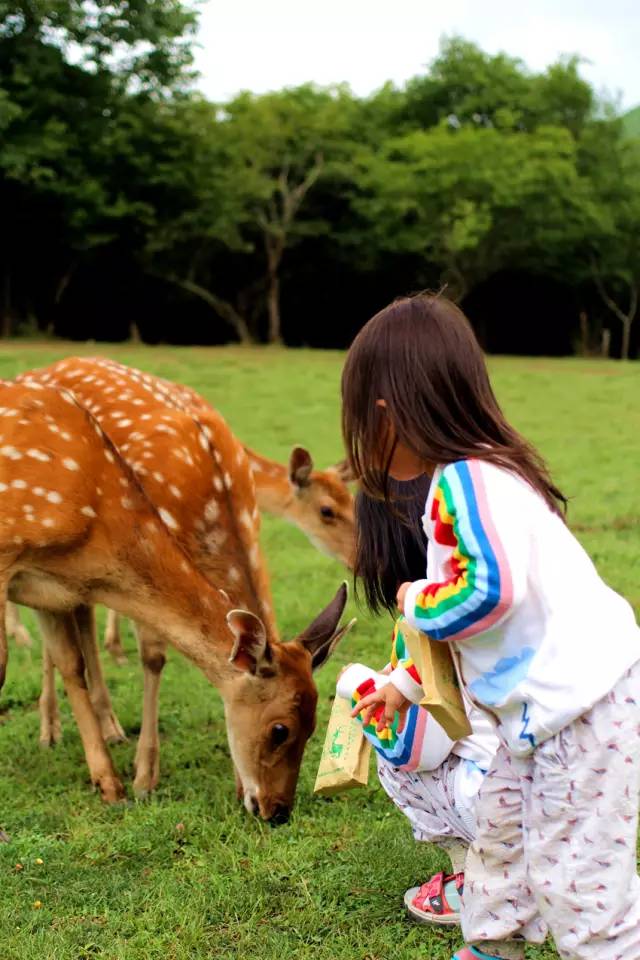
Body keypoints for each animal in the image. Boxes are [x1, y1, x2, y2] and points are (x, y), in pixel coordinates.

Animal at [0, 376, 353, 819]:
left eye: (314, 726)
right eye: (279, 729)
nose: (278, 812)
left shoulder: (54, 586)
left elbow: (71, 661)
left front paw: (109, 782)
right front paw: (141, 779)